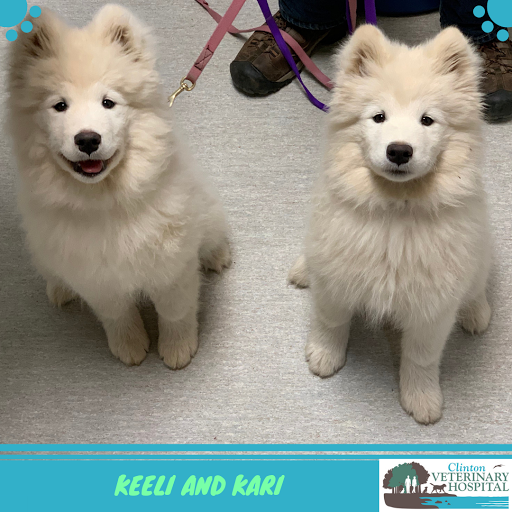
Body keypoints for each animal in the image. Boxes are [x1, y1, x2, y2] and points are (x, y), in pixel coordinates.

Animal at [7, 5, 231, 368]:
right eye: (60, 106)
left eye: (108, 103)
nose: (87, 139)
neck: (106, 202)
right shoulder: (97, 277)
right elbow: (117, 315)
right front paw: (130, 345)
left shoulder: (172, 266)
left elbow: (175, 312)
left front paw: (178, 349)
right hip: (43, 249)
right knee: (51, 270)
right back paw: (60, 289)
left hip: (206, 212)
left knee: (213, 234)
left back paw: (217, 256)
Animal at [289, 25, 491, 424]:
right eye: (378, 117)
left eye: (427, 120)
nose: (399, 150)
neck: (396, 210)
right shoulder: (336, 277)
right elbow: (330, 321)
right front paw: (325, 356)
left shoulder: (433, 307)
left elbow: (421, 357)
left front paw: (421, 399)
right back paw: (304, 269)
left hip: (477, 256)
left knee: (477, 286)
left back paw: (477, 313)